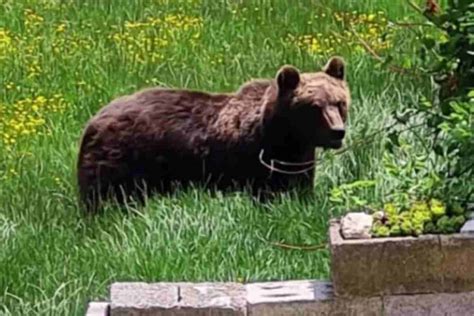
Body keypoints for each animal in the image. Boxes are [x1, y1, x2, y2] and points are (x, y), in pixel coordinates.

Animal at [78, 56, 350, 212]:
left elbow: (300, 187)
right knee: (105, 199)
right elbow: (266, 194)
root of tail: (93, 119)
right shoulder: (256, 162)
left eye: (339, 103)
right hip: (121, 162)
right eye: (314, 107)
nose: (338, 132)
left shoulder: (298, 160)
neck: (287, 139)